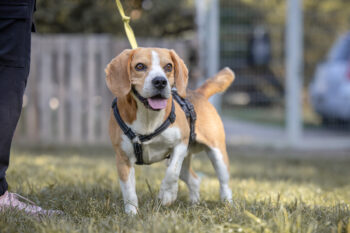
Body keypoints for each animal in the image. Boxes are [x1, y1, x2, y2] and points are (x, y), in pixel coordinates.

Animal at [104, 47, 235, 215]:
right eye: (139, 66)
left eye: (168, 66)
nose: (160, 81)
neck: (149, 117)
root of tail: (199, 93)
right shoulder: (123, 158)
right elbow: (128, 191)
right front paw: (132, 213)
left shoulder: (180, 144)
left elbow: (172, 173)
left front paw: (167, 195)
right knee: (194, 180)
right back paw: (194, 204)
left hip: (217, 154)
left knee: (224, 184)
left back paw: (227, 204)